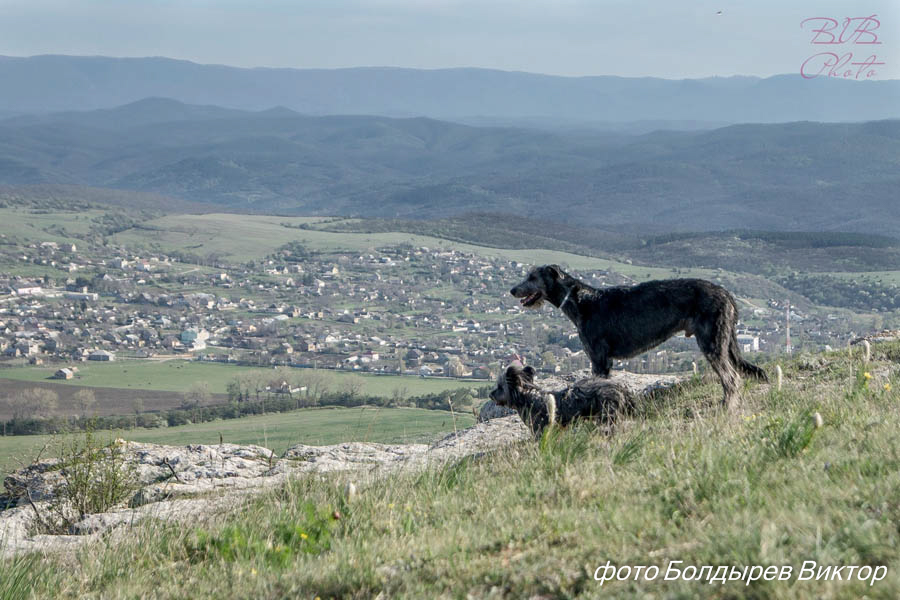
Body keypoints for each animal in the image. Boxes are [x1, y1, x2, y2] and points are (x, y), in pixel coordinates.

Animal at [486, 360, 632, 436]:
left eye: (500, 387)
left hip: (607, 415)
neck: (527, 398)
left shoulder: (540, 429)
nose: (490, 394)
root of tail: (618, 387)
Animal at [510, 266, 768, 410]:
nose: (512, 290)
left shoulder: (599, 359)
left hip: (711, 342)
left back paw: (728, 406)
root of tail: (726, 294)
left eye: (532, 277)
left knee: (732, 378)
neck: (581, 301)